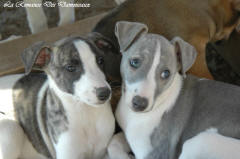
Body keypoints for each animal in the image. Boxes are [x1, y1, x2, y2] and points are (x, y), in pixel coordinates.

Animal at [108, 21, 240, 159]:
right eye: (134, 62)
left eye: (166, 73)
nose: (140, 104)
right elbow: (113, 142)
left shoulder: (156, 153)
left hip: (199, 142)